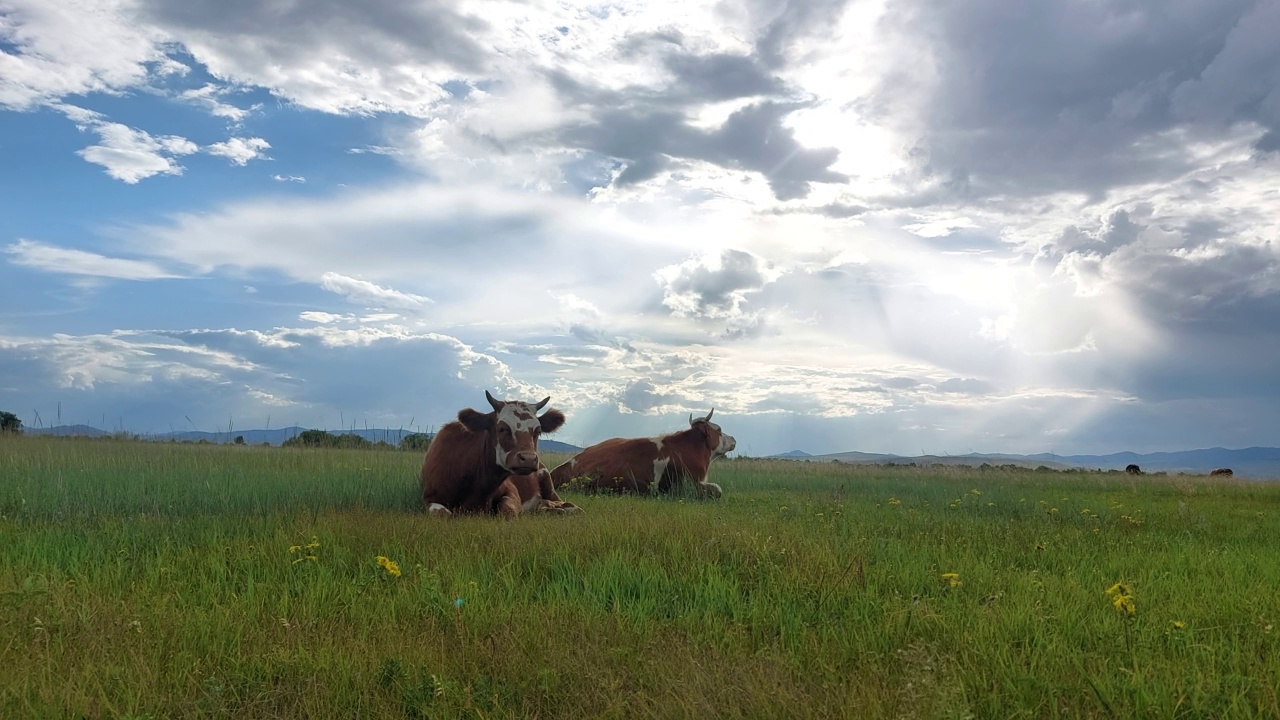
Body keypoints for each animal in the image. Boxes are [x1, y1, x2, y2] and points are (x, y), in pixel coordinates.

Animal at [419, 392, 581, 515]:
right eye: (502, 428)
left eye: (538, 431)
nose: (528, 459)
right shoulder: (429, 498)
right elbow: (443, 514)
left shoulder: (512, 493)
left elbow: (507, 510)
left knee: (564, 503)